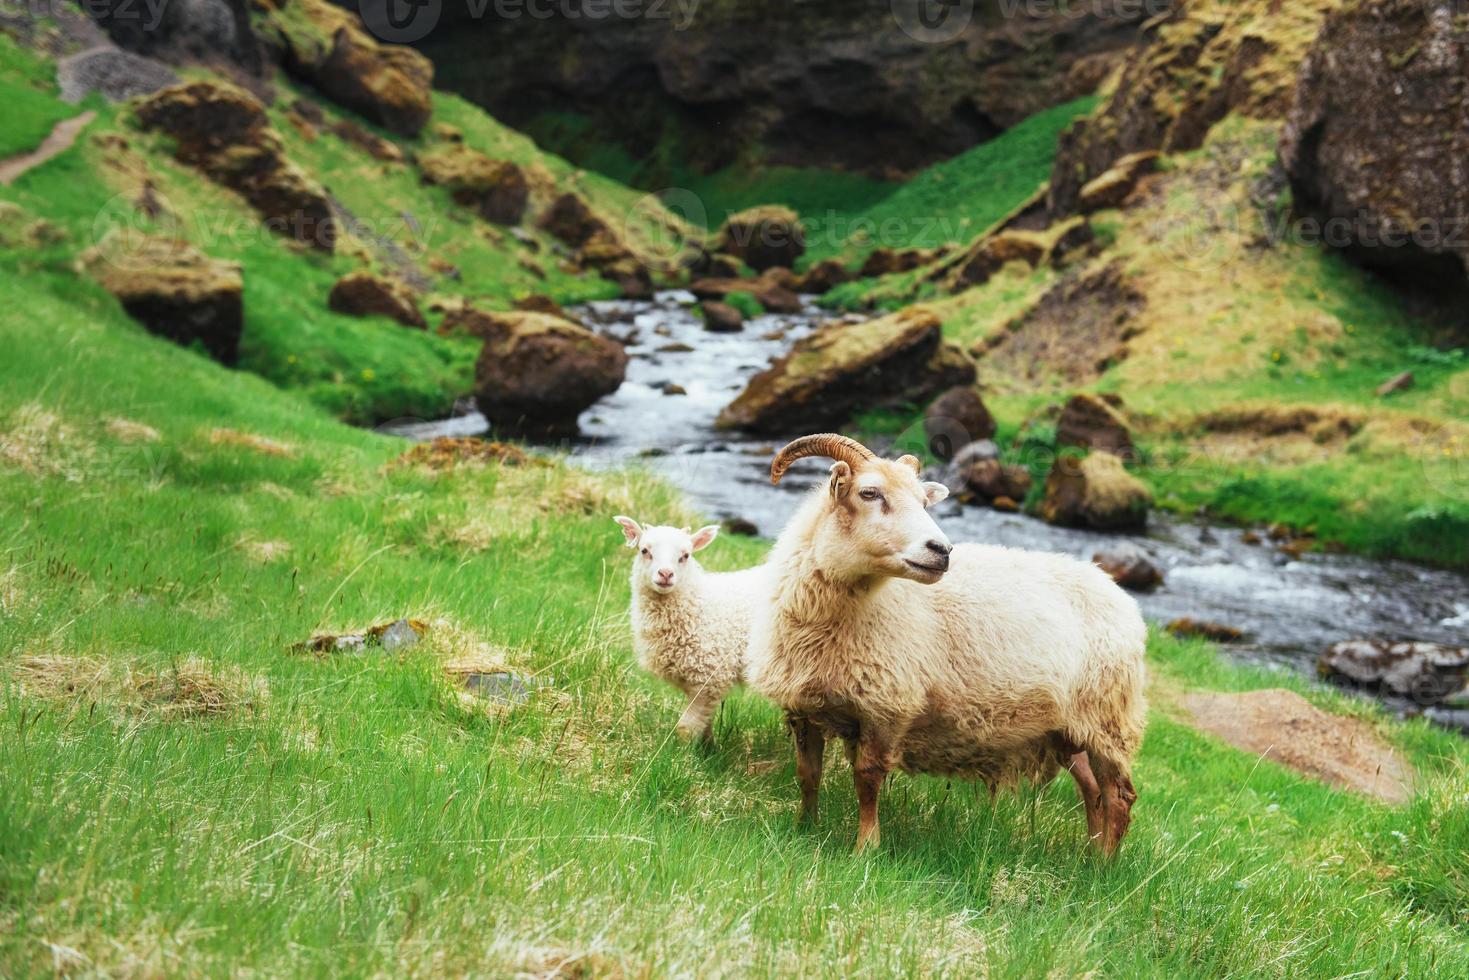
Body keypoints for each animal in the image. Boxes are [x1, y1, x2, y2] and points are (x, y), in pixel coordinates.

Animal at [611, 520, 769, 743]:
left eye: (685, 555)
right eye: (644, 551)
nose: (666, 574)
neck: (698, 604)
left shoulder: (710, 674)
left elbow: (686, 729)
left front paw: (683, 751)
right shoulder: (697, 681)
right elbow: (704, 724)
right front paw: (708, 747)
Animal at [746, 431, 1145, 852]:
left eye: (924, 502)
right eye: (869, 493)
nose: (942, 551)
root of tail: (1116, 591)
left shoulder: (888, 707)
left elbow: (867, 780)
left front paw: (865, 847)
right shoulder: (802, 707)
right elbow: (807, 773)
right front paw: (803, 829)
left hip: (1108, 721)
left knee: (1118, 796)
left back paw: (1105, 862)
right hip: (1069, 729)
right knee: (1093, 791)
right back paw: (1089, 855)